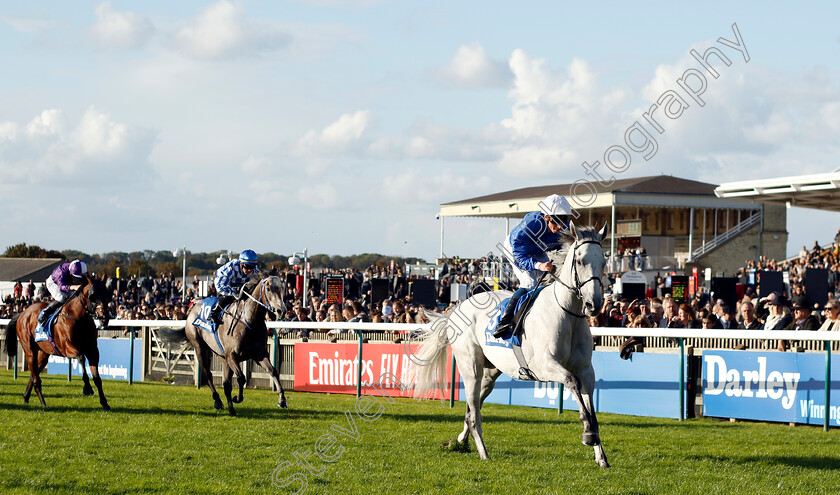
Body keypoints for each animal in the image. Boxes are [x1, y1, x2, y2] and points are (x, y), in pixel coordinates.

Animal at [3, 276, 113, 410]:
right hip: (29, 350)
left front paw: (105, 403)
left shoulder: (92, 351)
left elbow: (97, 378)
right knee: (36, 378)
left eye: (107, 294)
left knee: (34, 375)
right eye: (93, 296)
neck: (79, 319)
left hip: (43, 353)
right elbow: (81, 357)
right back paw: (43, 402)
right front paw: (87, 388)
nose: (104, 318)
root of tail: (22, 313)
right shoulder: (66, 347)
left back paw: (26, 397)